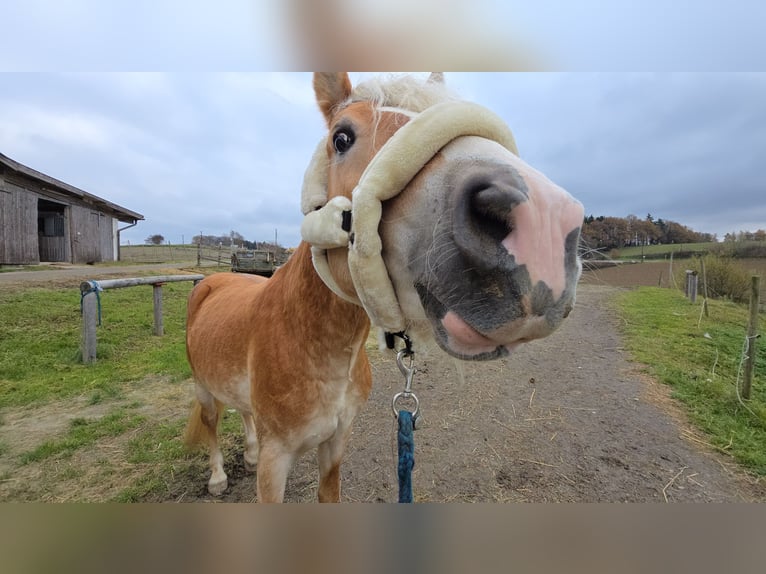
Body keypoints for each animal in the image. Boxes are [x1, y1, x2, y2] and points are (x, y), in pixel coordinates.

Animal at [184, 73, 584, 504]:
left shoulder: (337, 443)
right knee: (211, 423)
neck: (311, 341)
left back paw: (249, 453)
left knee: (243, 412)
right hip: (203, 389)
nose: (543, 223)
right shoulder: (277, 462)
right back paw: (218, 477)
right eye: (341, 138)